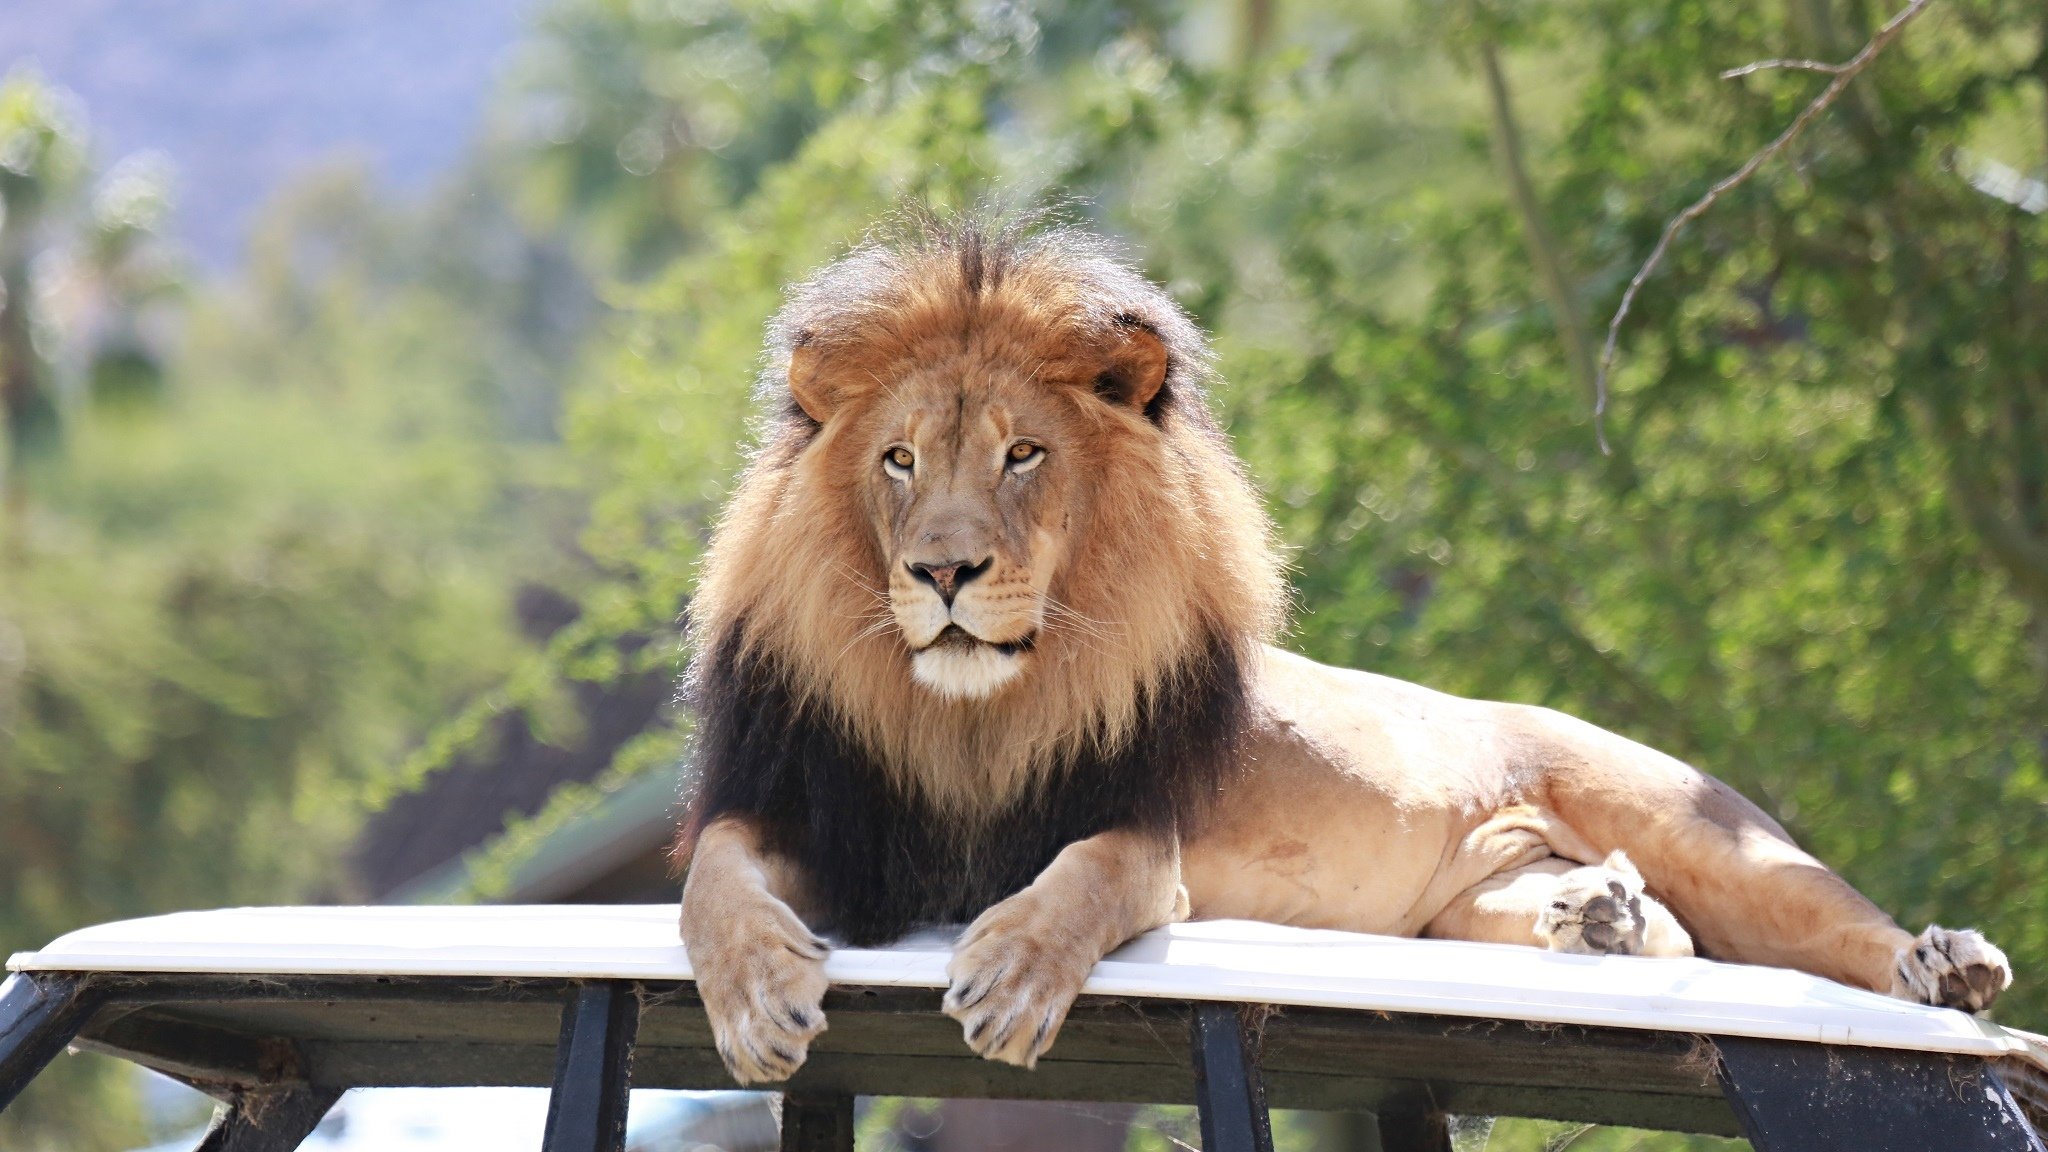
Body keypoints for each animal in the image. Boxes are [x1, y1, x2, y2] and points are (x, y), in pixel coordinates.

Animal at [676, 214, 2012, 1085]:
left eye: (1022, 455)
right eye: (899, 460)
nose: (941, 573)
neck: (964, 715)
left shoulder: (1142, 832)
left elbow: (1088, 876)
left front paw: (1008, 973)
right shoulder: (819, 808)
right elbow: (712, 883)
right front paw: (755, 999)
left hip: (1694, 824)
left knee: (1827, 921)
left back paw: (1943, 965)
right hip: (1468, 913)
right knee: (1661, 936)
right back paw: (1600, 916)